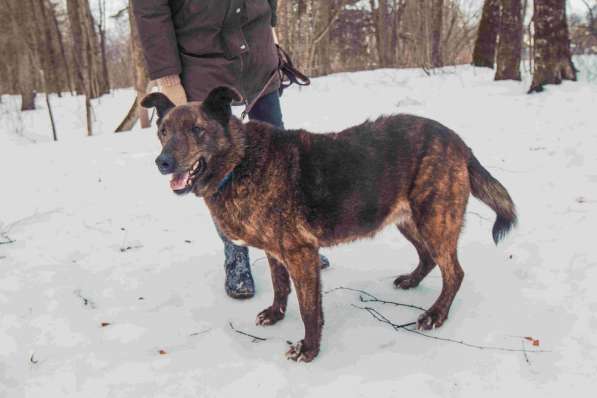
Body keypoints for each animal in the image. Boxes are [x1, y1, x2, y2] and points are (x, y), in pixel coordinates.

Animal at [142, 87, 516, 364]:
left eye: (197, 130)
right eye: (163, 132)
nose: (162, 162)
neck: (240, 161)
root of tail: (457, 140)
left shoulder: (301, 255)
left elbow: (310, 310)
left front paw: (309, 349)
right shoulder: (277, 253)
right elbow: (280, 288)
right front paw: (276, 315)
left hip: (434, 219)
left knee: (454, 271)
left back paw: (435, 315)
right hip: (406, 219)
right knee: (427, 258)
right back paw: (411, 282)